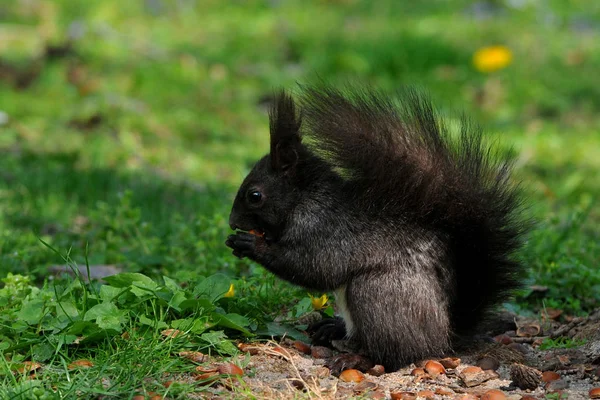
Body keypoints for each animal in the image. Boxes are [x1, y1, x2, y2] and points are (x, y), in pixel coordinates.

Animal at [225, 86, 524, 374]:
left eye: (254, 195)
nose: (232, 222)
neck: (306, 198)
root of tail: (446, 335)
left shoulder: (327, 231)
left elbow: (311, 266)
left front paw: (250, 245)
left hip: (377, 293)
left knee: (396, 355)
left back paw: (356, 360)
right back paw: (333, 327)